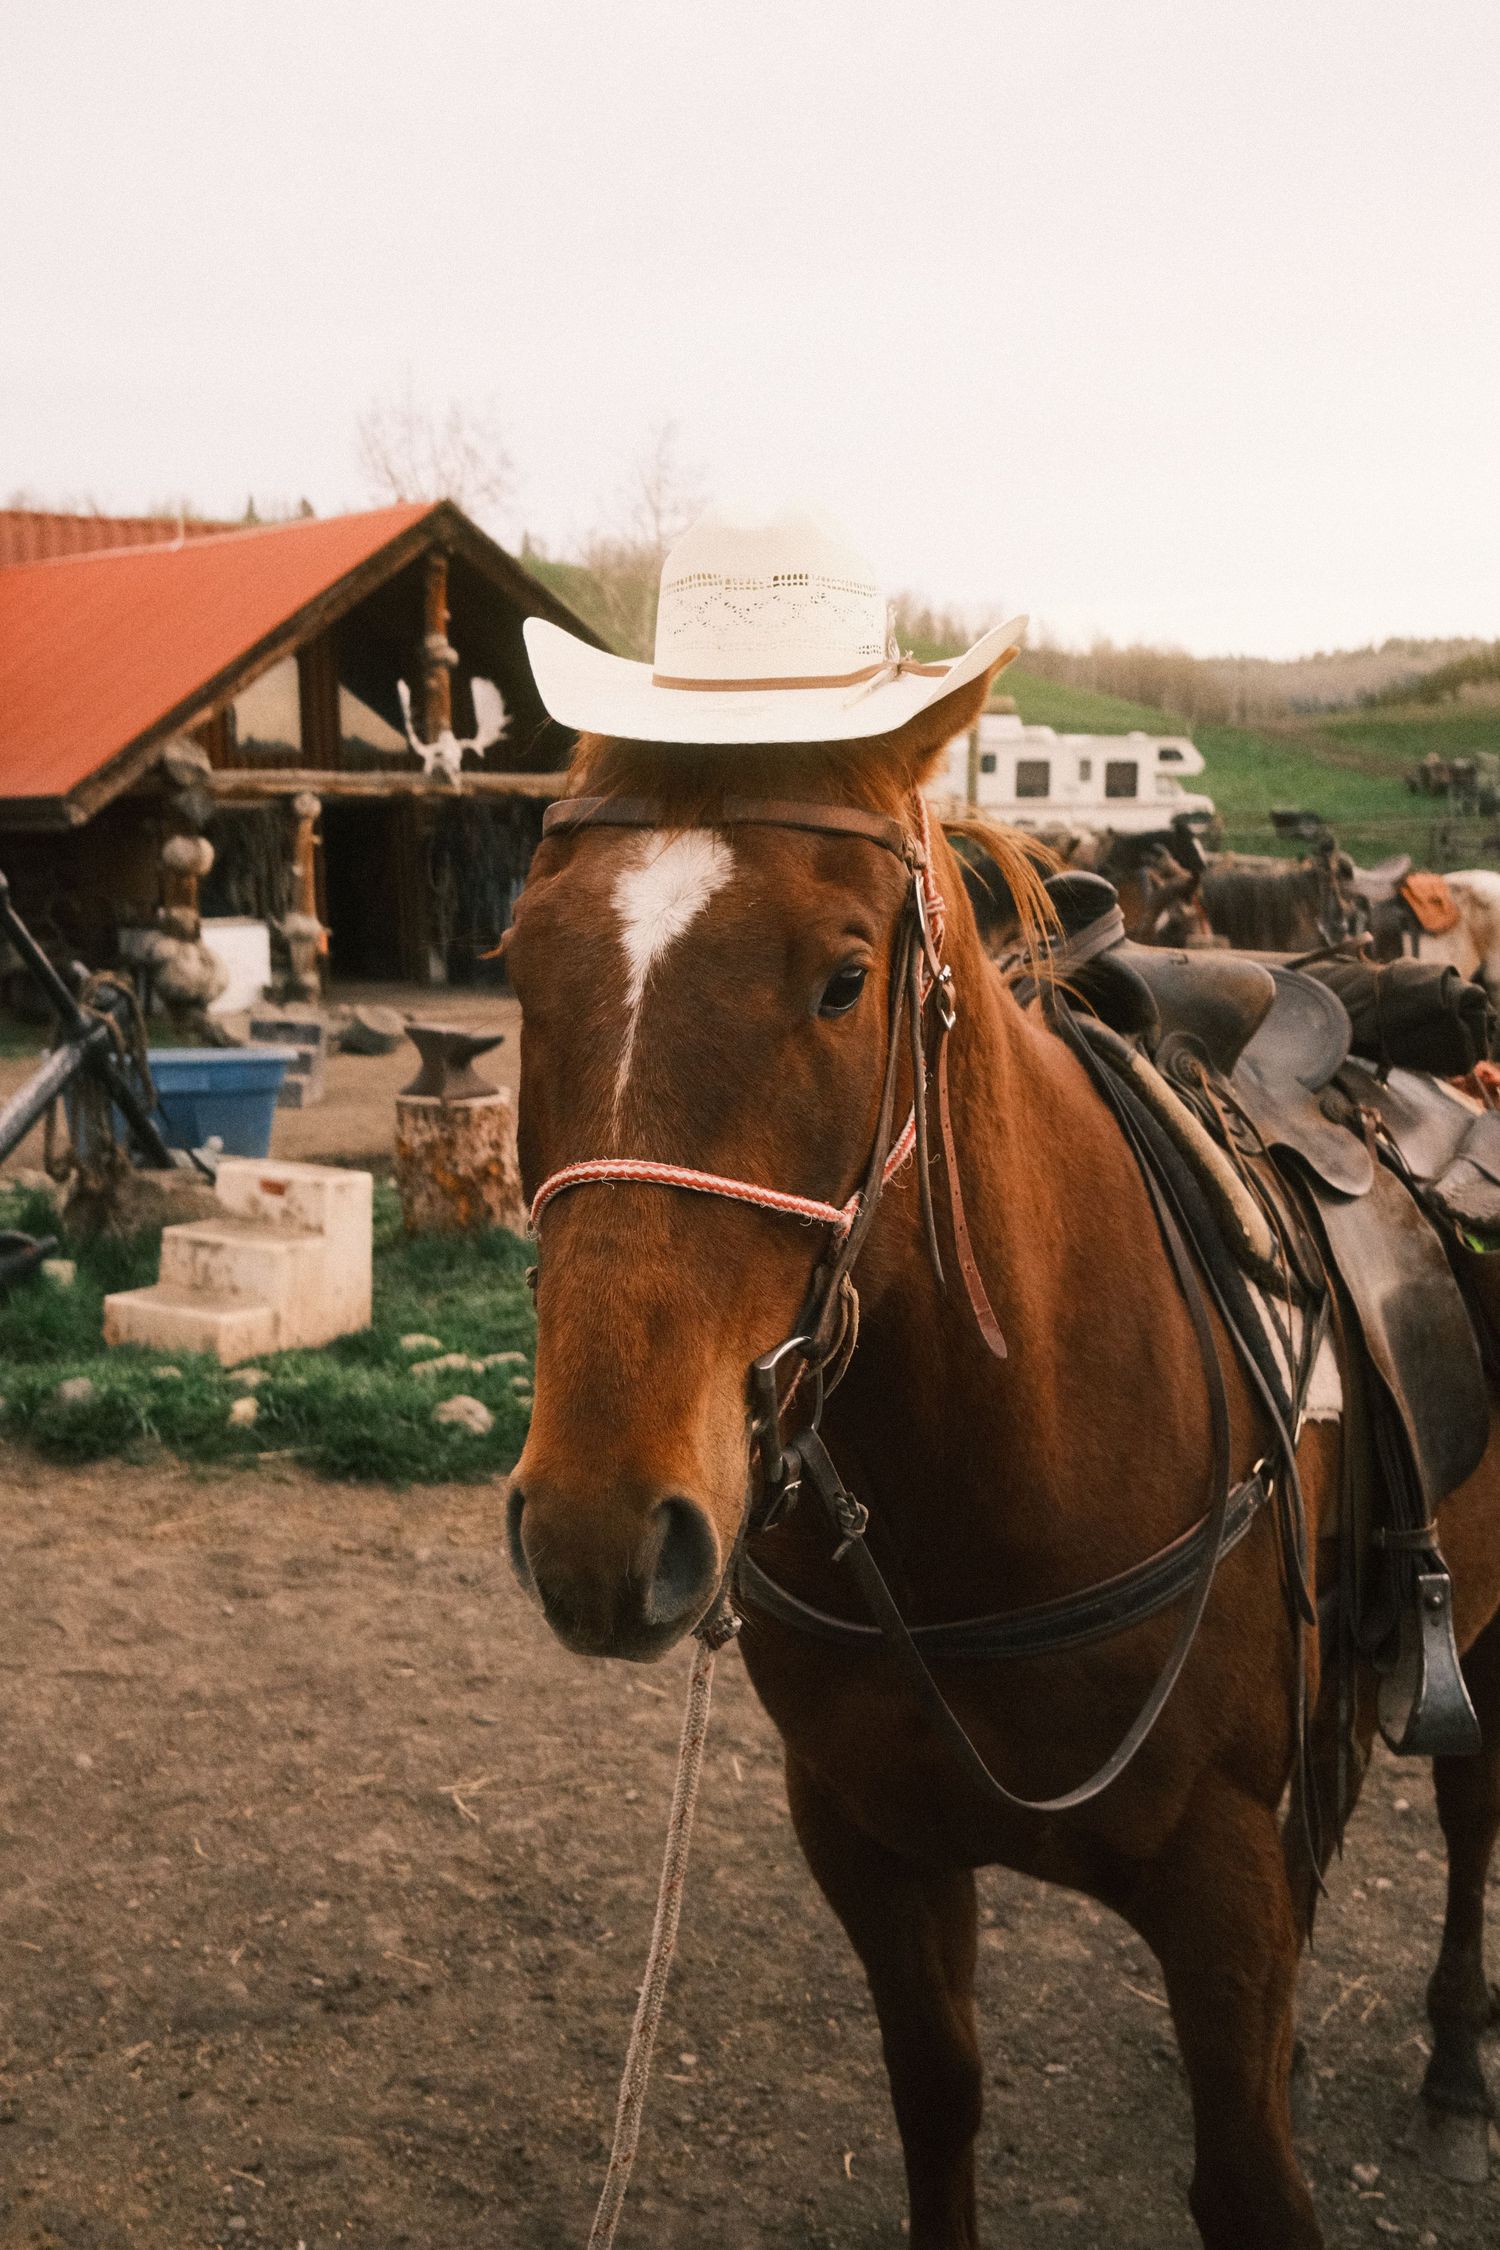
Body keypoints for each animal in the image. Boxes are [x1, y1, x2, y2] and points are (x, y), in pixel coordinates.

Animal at [502, 659, 1500, 2249]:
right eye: (522, 970)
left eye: (845, 979)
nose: (599, 1530)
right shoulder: (872, 1843)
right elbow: (939, 2102)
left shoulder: (1219, 1881)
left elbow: (1249, 2181)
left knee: (1471, 1817)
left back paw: (1460, 2070)